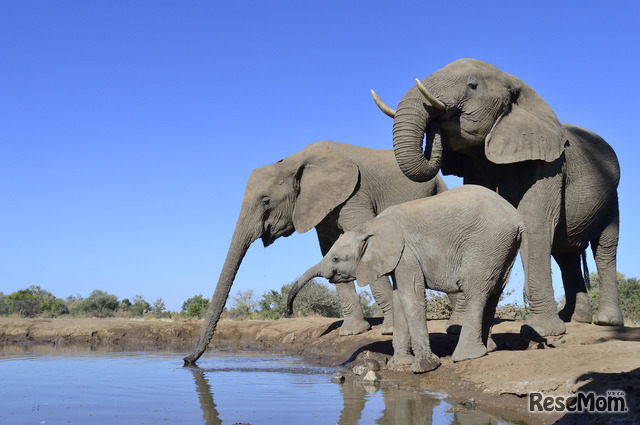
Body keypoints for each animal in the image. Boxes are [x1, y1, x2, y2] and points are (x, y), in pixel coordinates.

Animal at [182, 141, 448, 362]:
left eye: (266, 201)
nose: (187, 360)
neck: (294, 161)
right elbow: (327, 248)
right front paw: (351, 332)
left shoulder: (355, 194)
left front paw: (388, 330)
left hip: (437, 188)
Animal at [288, 185, 524, 372]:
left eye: (336, 259)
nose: (288, 312)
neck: (369, 227)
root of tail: (517, 219)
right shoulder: (397, 259)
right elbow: (399, 298)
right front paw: (399, 365)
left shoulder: (407, 254)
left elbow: (412, 297)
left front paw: (424, 368)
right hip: (504, 248)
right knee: (494, 292)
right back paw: (488, 349)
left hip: (486, 244)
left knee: (476, 292)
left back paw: (465, 356)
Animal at [372, 58, 624, 336]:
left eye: (472, 85)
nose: (434, 125)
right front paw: (458, 329)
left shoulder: (549, 164)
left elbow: (534, 224)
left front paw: (542, 331)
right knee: (565, 254)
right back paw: (573, 319)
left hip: (611, 198)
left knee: (604, 248)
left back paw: (606, 322)